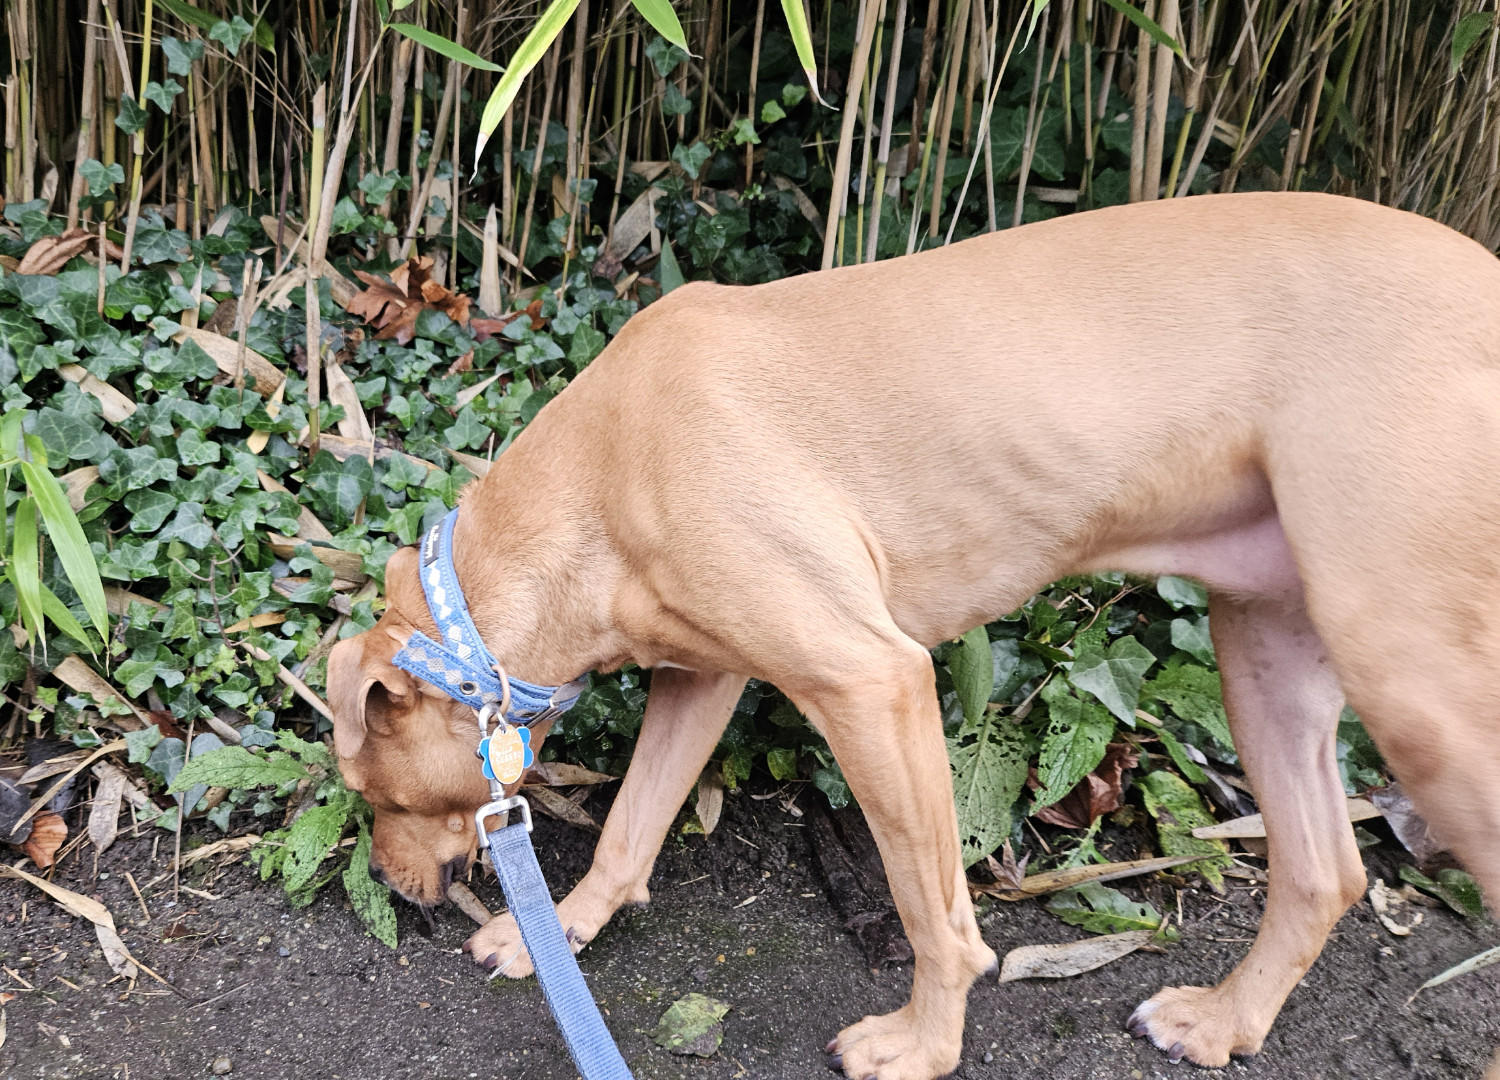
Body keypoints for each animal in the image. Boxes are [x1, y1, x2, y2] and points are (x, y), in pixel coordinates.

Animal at [328, 193, 1500, 1080]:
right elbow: (629, 829)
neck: (598, 479)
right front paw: (558, 932)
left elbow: (937, 916)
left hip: (1416, 690)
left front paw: (927, 1047)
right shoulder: (704, 678)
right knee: (1325, 872)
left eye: (375, 793)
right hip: (1264, 648)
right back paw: (1224, 1021)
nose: (393, 891)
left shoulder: (871, 682)